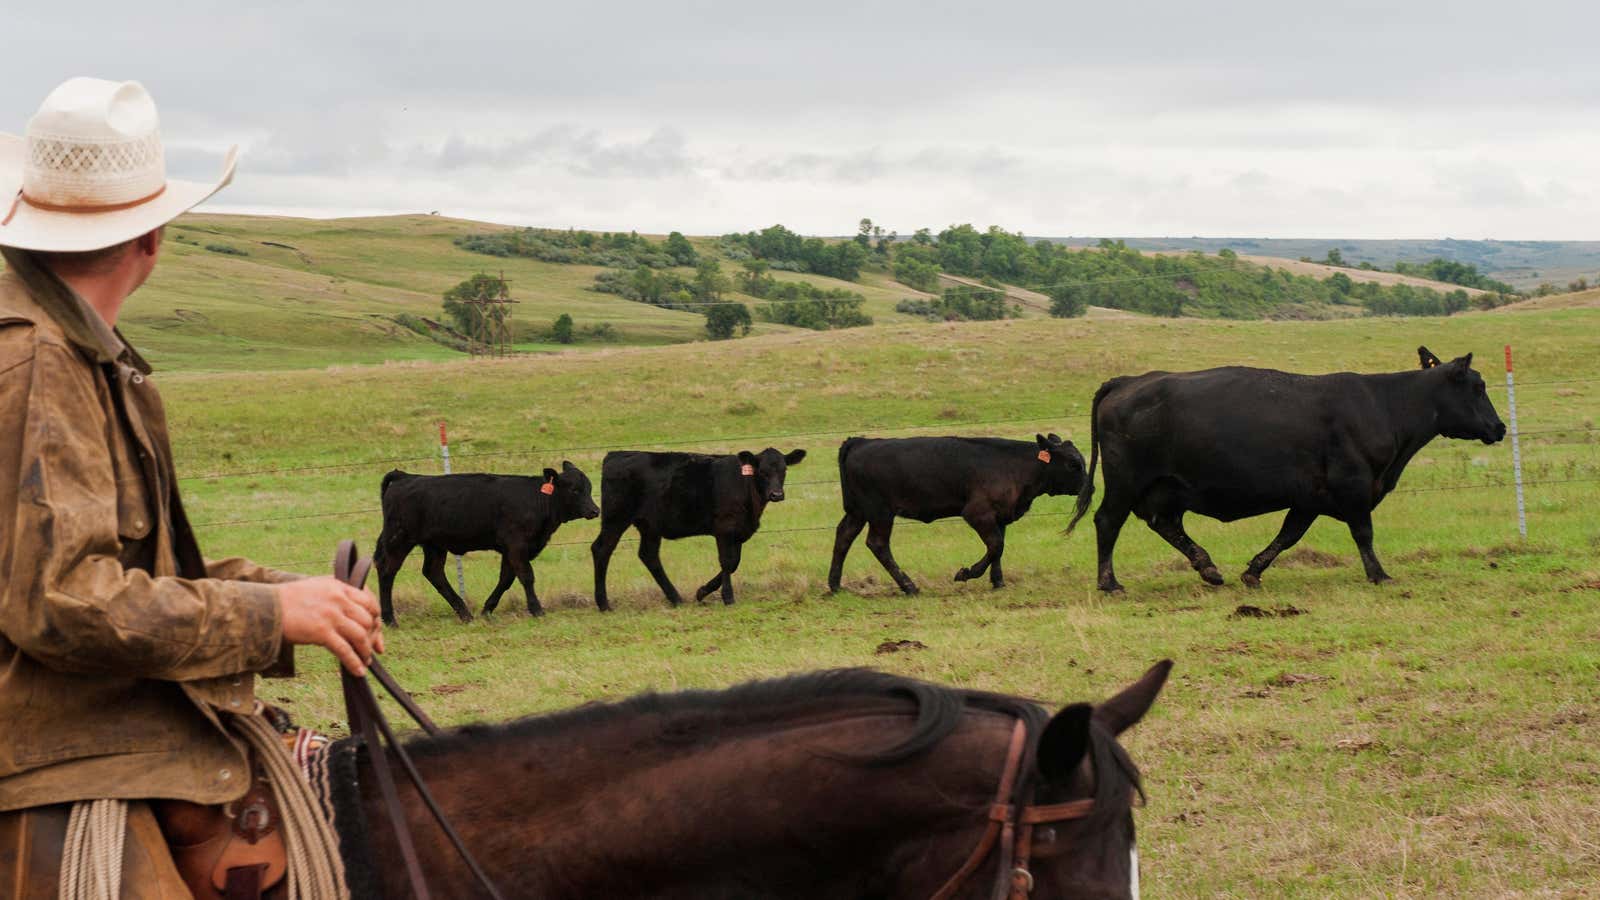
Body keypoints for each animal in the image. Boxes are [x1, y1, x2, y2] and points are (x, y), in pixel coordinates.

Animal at [374, 458, 601, 621]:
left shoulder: (510, 549)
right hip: (399, 539)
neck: (538, 501)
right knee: (387, 570)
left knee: (433, 572)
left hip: (434, 544)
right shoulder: (517, 545)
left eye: (589, 488)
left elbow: (506, 579)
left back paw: (465, 614)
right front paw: (537, 609)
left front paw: (487, 609)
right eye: (575, 490)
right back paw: (389, 619)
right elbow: (526, 576)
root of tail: (405, 477)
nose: (595, 510)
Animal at [592, 448, 806, 608]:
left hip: (650, 525)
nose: (777, 494)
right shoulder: (724, 528)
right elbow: (727, 562)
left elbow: (735, 563)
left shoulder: (738, 531)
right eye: (762, 471)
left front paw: (702, 591)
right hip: (616, 518)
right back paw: (603, 604)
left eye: (784, 470)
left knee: (648, 555)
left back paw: (676, 598)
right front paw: (728, 597)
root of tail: (615, 454)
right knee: (602, 549)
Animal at [825, 432, 1088, 592]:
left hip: (858, 512)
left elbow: (998, 547)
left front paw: (998, 581)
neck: (1015, 465)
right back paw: (909, 586)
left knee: (843, 536)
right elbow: (996, 546)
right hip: (880, 512)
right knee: (877, 544)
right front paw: (967, 573)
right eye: (1073, 464)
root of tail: (861, 441)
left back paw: (835, 585)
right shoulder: (977, 513)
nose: (1090, 486)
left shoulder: (999, 515)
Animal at [1068, 344, 1504, 589]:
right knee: (1108, 522)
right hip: (1126, 482)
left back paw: (1208, 568)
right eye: (1478, 387)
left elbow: (1289, 534)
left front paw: (1253, 572)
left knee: (1166, 524)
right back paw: (1110, 583)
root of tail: (1128, 380)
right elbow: (1363, 533)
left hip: (1166, 488)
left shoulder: (1310, 497)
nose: (1499, 427)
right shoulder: (1353, 486)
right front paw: (1379, 574)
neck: (1383, 405)